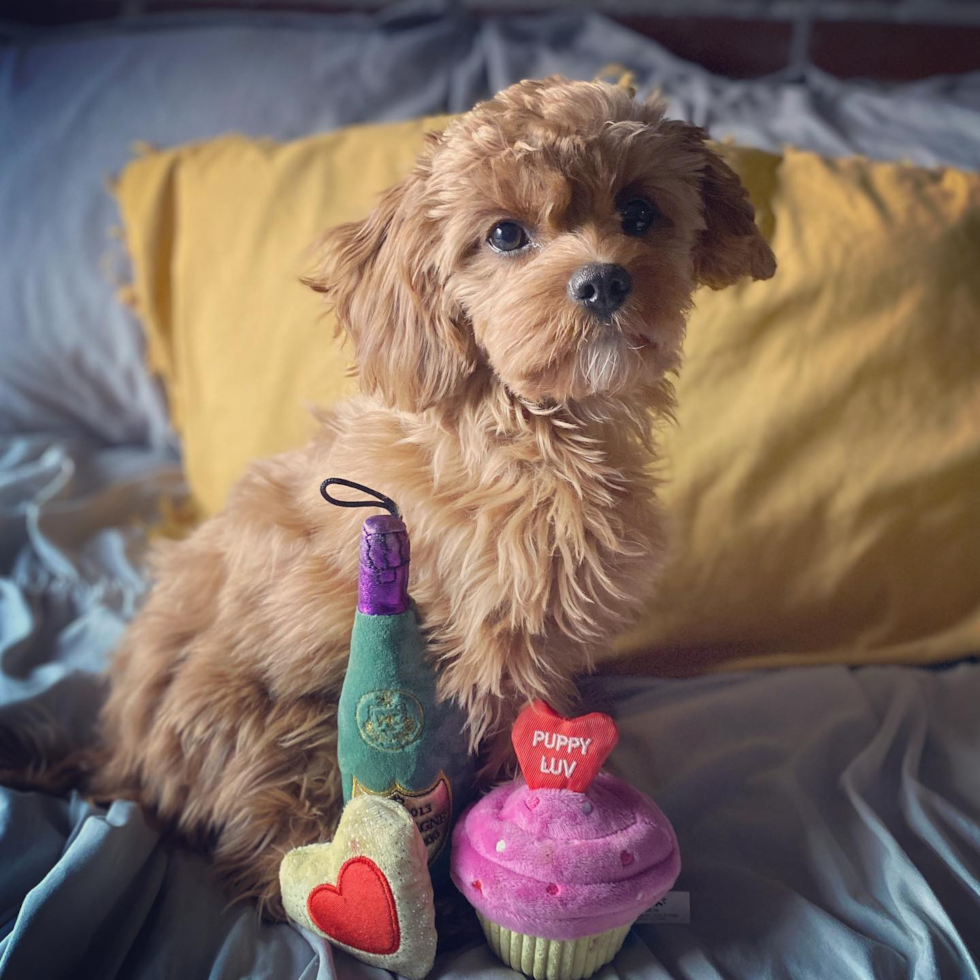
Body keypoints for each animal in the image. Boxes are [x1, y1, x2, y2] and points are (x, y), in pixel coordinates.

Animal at [86, 76, 772, 920]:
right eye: (506, 235)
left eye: (639, 212)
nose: (605, 279)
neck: (528, 428)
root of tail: (120, 754)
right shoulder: (497, 651)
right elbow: (500, 749)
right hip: (282, 731)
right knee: (267, 857)